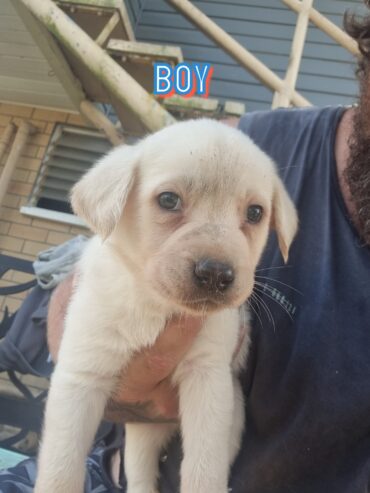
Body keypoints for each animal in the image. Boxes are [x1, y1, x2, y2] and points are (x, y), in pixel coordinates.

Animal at [34, 119, 298, 492]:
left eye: (255, 212)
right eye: (169, 200)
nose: (216, 274)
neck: (156, 305)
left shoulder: (208, 379)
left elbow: (204, 469)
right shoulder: (81, 376)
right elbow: (60, 471)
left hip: (230, 417)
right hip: (139, 435)